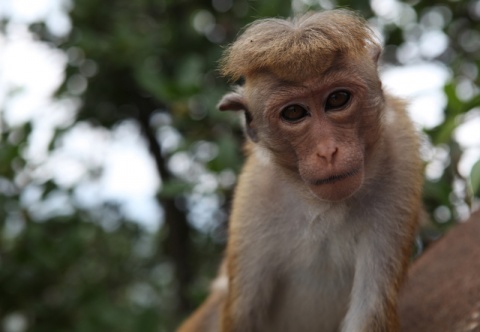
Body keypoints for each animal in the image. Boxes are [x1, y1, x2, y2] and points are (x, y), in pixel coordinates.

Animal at [178, 9, 422, 332]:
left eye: (337, 99)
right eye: (294, 113)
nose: (327, 151)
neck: (323, 205)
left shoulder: (400, 157)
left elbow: (370, 310)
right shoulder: (257, 191)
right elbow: (243, 313)